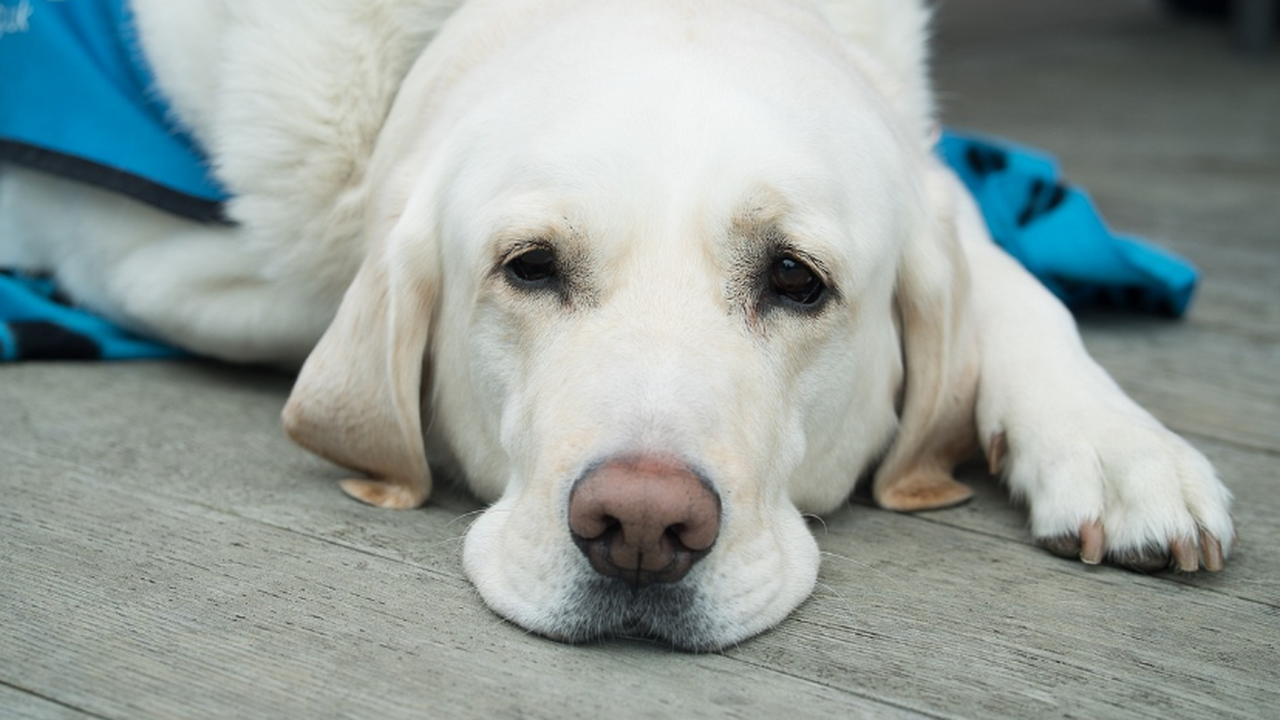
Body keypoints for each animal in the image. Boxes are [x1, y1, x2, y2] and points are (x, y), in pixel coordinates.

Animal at [2, 0, 1239, 648]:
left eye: (795, 280)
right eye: (529, 268)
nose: (640, 526)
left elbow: (1009, 282)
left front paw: (1120, 451)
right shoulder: (153, 255)